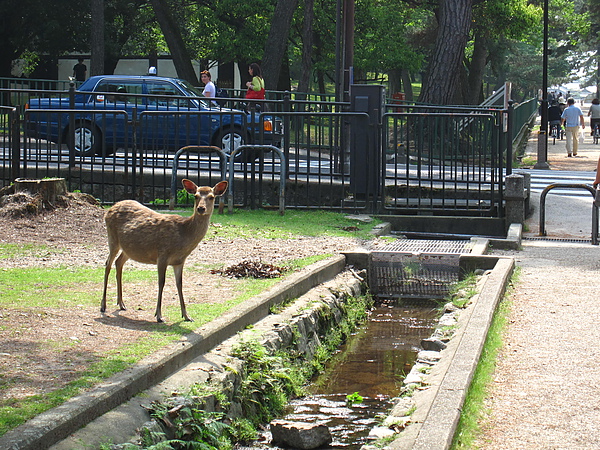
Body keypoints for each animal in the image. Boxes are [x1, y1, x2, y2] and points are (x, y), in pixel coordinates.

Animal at [101, 179, 227, 324]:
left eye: (212, 197)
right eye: (195, 196)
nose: (201, 208)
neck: (183, 235)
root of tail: (109, 209)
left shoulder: (179, 261)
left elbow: (180, 284)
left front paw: (186, 315)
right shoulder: (162, 255)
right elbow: (161, 282)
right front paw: (159, 315)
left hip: (128, 249)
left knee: (118, 262)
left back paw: (121, 303)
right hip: (112, 239)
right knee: (108, 264)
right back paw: (103, 305)